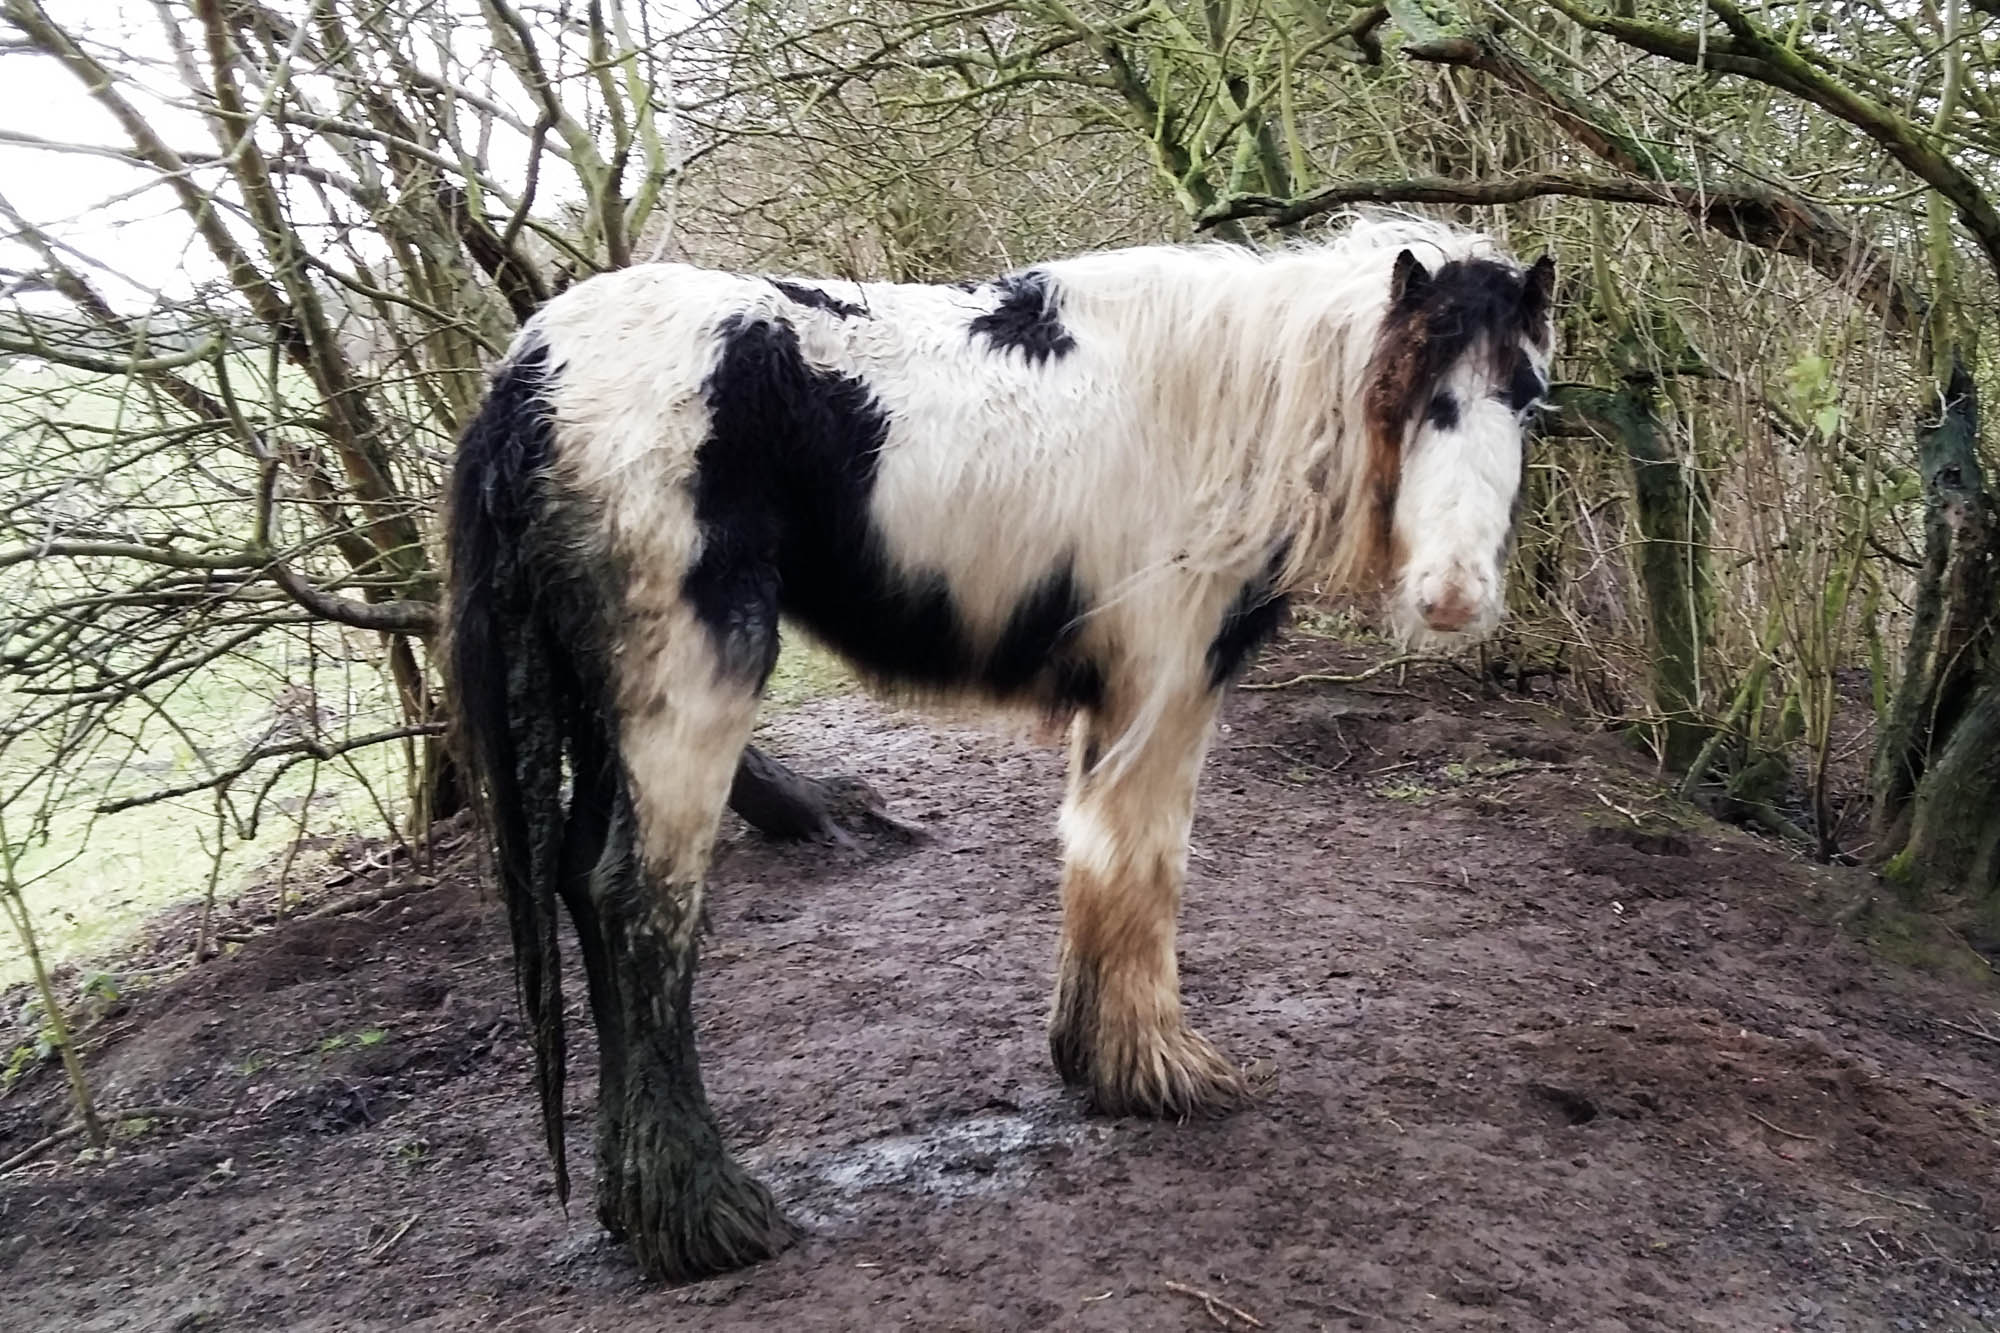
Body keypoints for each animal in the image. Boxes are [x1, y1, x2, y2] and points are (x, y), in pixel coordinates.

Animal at [446, 215, 1552, 1280]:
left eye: (1526, 401)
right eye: (1416, 394)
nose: (1453, 597)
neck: (1213, 405)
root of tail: (529, 375)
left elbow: (1098, 861)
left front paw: (1103, 1063)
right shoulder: (1164, 678)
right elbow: (1144, 863)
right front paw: (1158, 1071)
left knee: (583, 881)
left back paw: (638, 1209)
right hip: (688, 683)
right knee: (638, 900)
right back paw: (702, 1216)